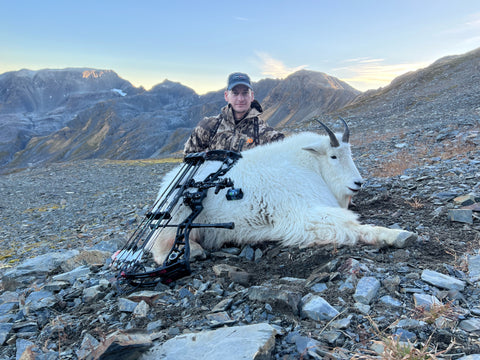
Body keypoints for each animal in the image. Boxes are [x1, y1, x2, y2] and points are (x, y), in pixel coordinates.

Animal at [149, 121, 416, 264]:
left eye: (350, 154)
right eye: (333, 156)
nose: (357, 183)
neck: (308, 165)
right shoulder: (303, 214)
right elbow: (352, 226)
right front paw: (398, 235)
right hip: (176, 218)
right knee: (161, 247)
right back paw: (193, 252)